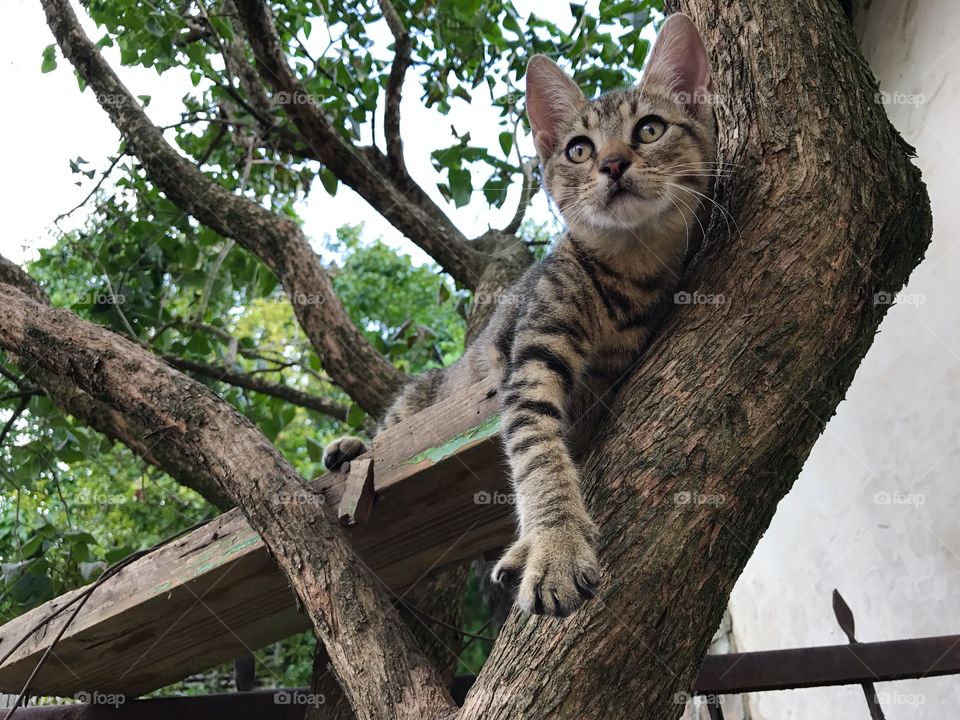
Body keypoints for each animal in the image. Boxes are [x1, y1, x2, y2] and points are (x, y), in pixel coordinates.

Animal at [326, 14, 716, 616]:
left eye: (650, 129)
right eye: (578, 149)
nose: (612, 163)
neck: (626, 270)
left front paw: (536, 548)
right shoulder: (530, 358)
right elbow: (539, 454)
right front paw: (555, 546)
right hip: (418, 402)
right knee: (387, 427)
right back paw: (350, 448)